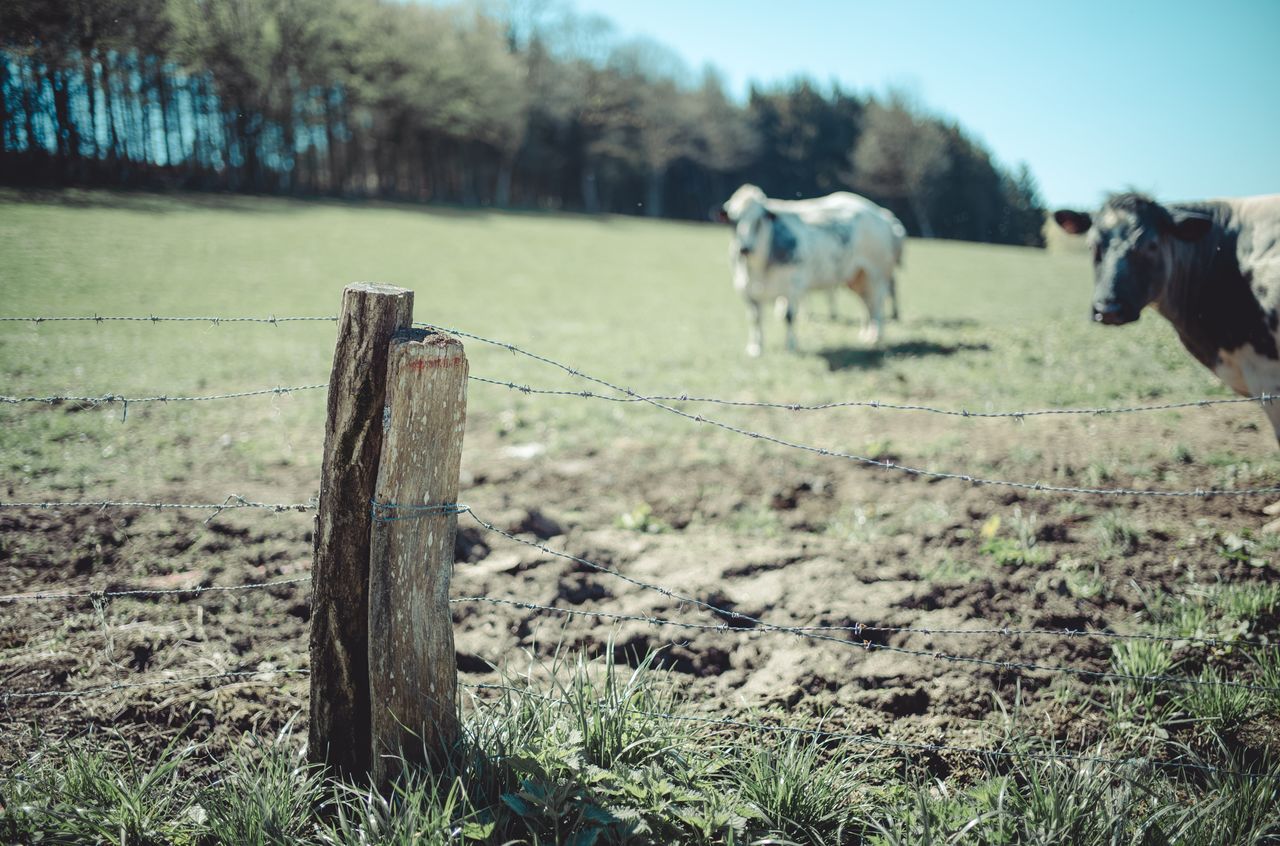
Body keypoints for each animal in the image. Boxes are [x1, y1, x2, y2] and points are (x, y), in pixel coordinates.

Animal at [718, 184, 905, 357]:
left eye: (758, 221)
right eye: (734, 221)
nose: (745, 248)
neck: (758, 266)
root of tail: (881, 213)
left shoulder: (792, 286)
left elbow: (789, 316)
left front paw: (791, 346)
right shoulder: (746, 289)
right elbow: (754, 319)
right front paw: (755, 348)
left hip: (877, 273)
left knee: (878, 302)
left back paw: (877, 336)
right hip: (857, 276)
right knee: (866, 302)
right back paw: (866, 334)